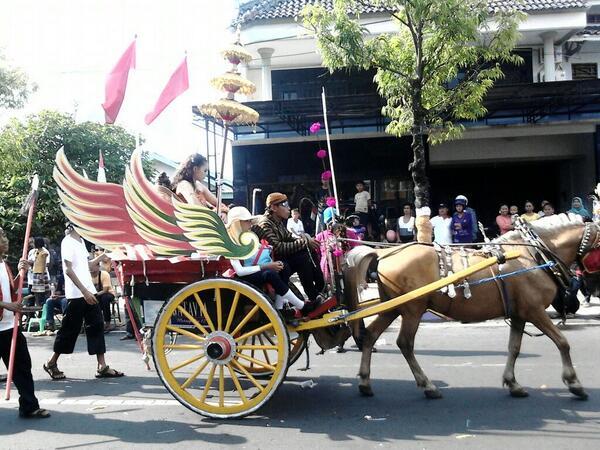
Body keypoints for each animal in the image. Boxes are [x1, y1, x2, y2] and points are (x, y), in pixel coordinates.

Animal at [344, 214, 592, 400]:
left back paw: (365, 382)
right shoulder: (535, 311)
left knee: (370, 335)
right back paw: (428, 386)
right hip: (413, 309)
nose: (576, 298)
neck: (532, 254)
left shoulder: (519, 314)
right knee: (404, 343)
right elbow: (562, 342)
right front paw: (574, 383)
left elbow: (514, 348)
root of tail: (384, 252)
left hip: (393, 307)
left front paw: (512, 383)